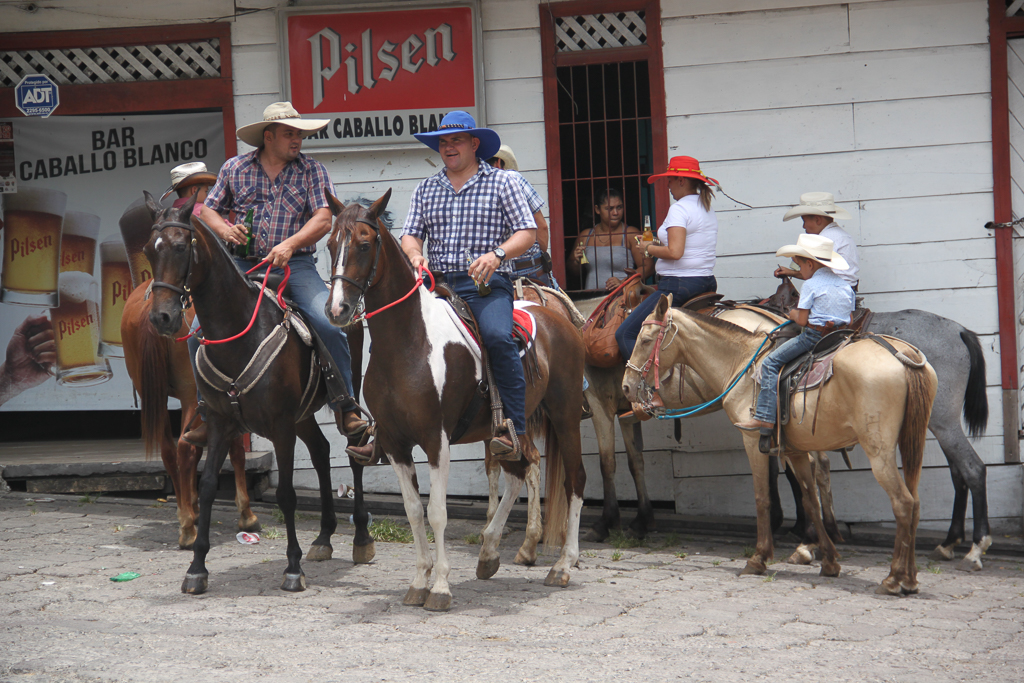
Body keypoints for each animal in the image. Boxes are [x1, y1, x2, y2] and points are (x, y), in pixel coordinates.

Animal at [120, 274, 258, 548]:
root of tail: (148, 306)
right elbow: (236, 452)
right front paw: (246, 514)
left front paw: (193, 505)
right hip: (192, 396)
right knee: (184, 449)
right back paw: (188, 531)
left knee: (169, 450)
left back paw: (185, 516)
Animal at [140, 191, 372, 593]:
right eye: (148, 251)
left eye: (181, 246)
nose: (161, 318)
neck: (238, 334)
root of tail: (344, 306)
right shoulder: (220, 423)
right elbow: (206, 487)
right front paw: (196, 568)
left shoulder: (280, 425)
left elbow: (286, 494)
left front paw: (292, 568)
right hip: (302, 415)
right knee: (320, 450)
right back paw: (324, 537)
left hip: (340, 395)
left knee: (353, 450)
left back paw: (360, 539)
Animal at [323, 189, 589, 610]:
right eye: (331, 244)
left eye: (364, 244)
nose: (337, 309)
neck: (407, 343)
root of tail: (559, 319)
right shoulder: (395, 443)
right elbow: (414, 511)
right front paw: (419, 581)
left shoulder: (437, 440)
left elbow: (437, 513)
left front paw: (441, 588)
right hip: (509, 430)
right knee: (519, 471)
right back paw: (490, 552)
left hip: (564, 416)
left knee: (574, 479)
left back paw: (563, 565)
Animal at [614, 296, 937, 593]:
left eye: (645, 339)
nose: (626, 386)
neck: (741, 362)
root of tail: (901, 353)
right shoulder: (795, 450)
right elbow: (809, 499)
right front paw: (828, 560)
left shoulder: (752, 439)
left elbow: (762, 497)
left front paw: (758, 558)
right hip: (912, 442)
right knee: (916, 502)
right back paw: (910, 578)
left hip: (879, 451)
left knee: (903, 503)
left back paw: (894, 578)